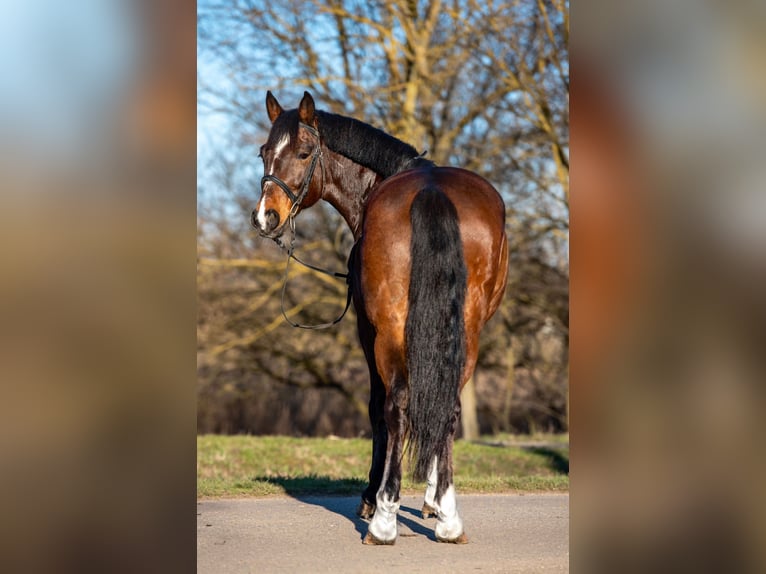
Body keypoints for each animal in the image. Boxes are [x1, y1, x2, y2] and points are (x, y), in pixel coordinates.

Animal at [252, 91, 508, 544]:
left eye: (303, 153)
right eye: (265, 152)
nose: (266, 217)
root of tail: (431, 193)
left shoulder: (366, 329)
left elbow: (378, 408)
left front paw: (374, 498)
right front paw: (434, 500)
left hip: (388, 331)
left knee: (396, 406)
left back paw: (385, 518)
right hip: (466, 329)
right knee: (447, 404)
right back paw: (449, 519)